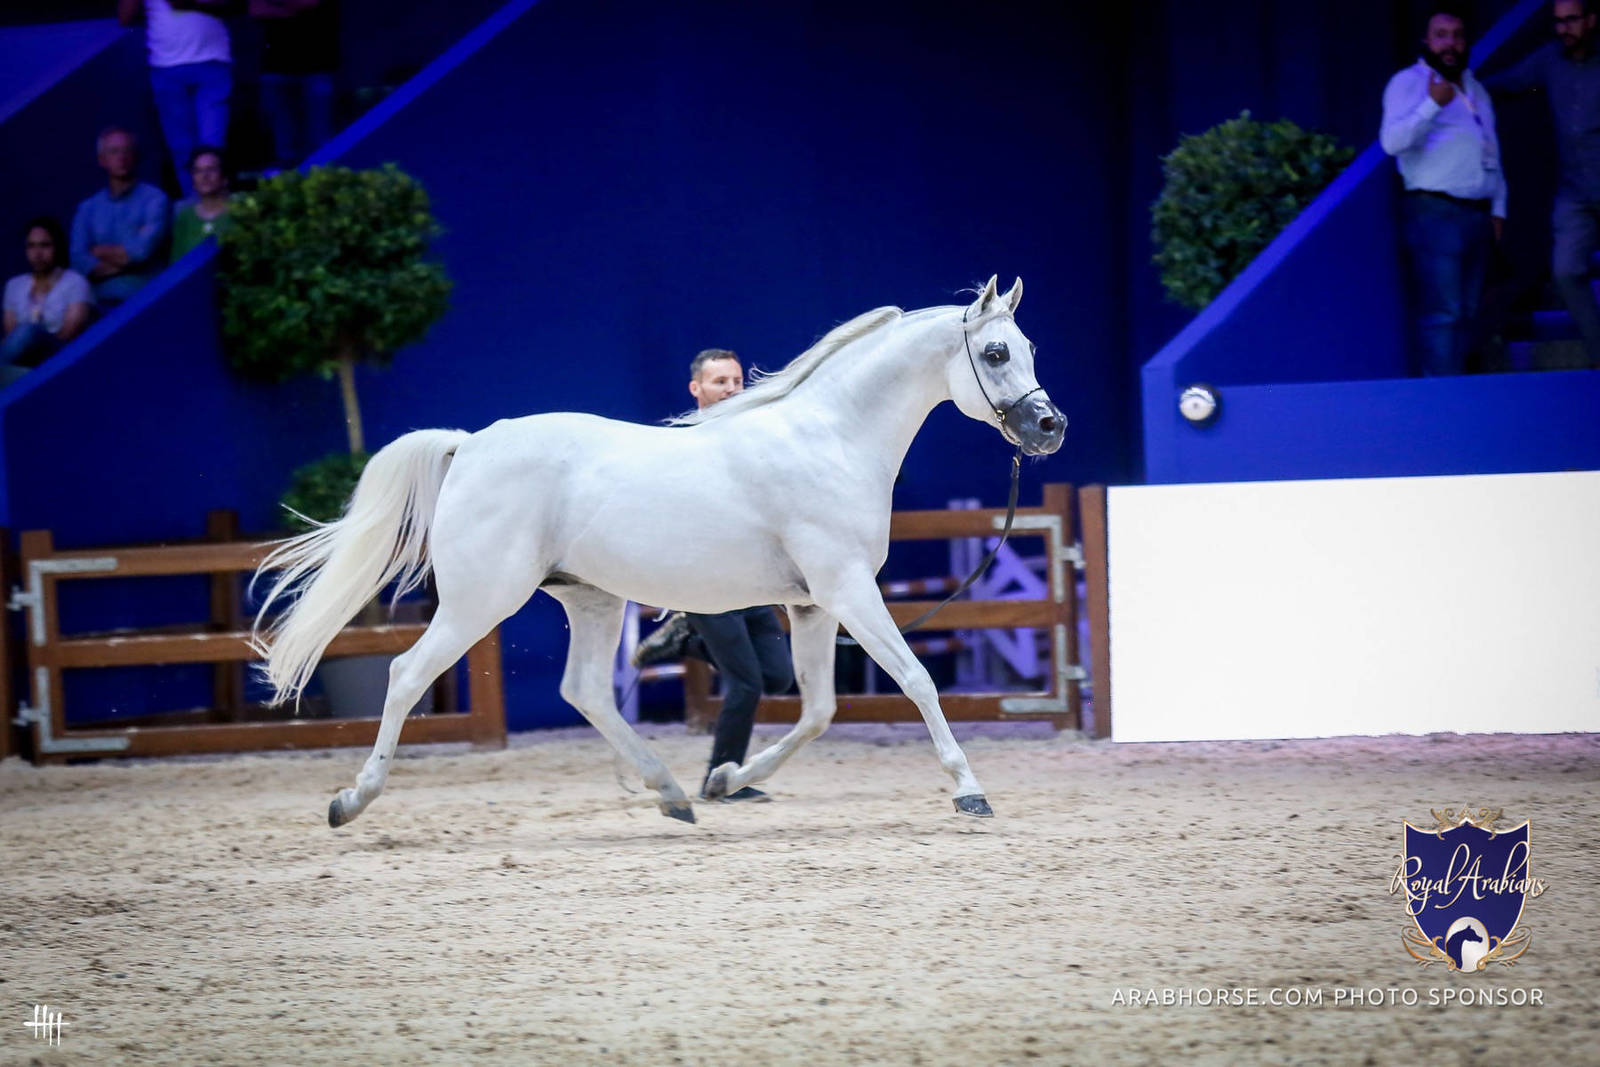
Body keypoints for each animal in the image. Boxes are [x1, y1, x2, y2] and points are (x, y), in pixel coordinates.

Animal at [251, 275, 1065, 828]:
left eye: (1030, 347)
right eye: (996, 351)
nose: (1049, 426)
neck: (829, 438)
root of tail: (471, 444)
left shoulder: (812, 605)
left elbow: (819, 710)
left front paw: (727, 777)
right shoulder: (848, 591)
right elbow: (916, 680)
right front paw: (969, 791)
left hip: (592, 598)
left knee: (583, 690)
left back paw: (674, 793)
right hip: (480, 601)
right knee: (405, 674)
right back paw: (352, 799)